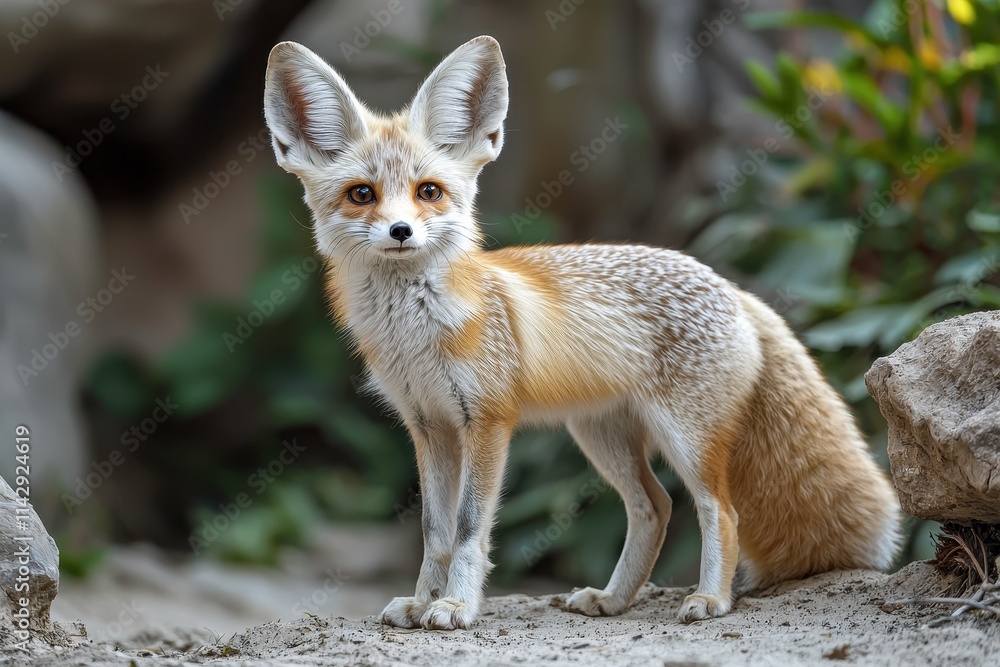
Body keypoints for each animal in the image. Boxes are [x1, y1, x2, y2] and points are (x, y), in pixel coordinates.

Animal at [263, 35, 902, 631]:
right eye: (362, 194)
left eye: (429, 192)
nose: (400, 231)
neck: (417, 336)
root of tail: (731, 285)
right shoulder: (429, 427)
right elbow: (434, 533)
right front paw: (423, 603)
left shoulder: (488, 422)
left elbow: (468, 532)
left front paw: (457, 607)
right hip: (600, 436)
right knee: (655, 508)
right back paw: (615, 599)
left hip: (687, 440)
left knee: (719, 510)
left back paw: (710, 600)